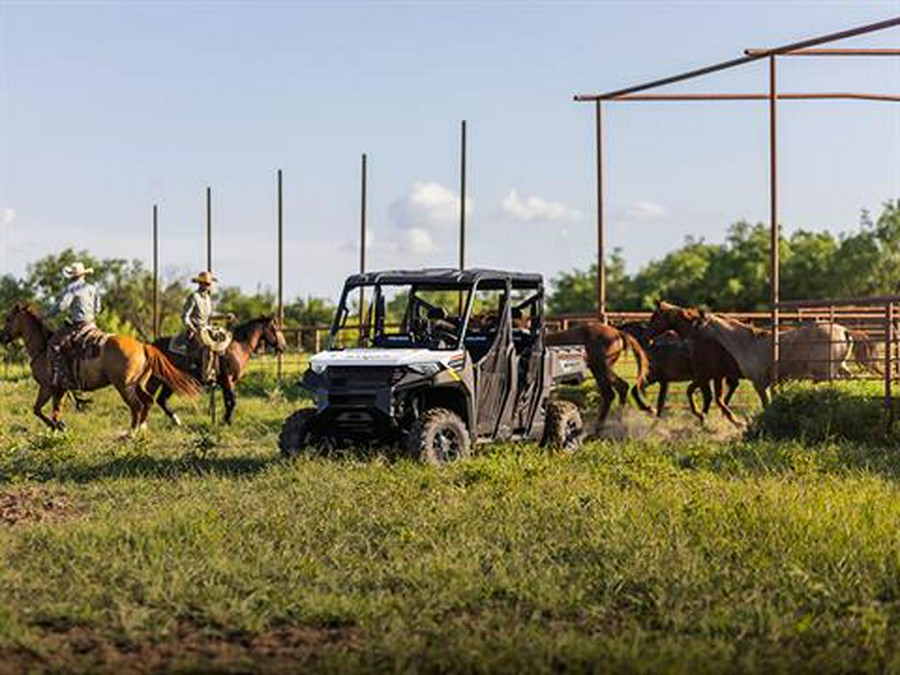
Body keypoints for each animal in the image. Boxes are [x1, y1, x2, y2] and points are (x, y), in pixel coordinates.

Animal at [0, 304, 200, 434]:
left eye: (8, 319)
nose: (2, 337)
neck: (42, 347)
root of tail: (144, 346)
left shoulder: (47, 387)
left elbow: (37, 409)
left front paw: (57, 426)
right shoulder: (60, 389)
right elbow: (55, 412)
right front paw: (58, 427)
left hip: (124, 386)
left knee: (137, 405)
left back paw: (131, 433)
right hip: (139, 384)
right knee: (148, 402)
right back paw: (141, 429)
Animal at [149, 316, 286, 422]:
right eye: (275, 329)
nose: (284, 346)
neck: (239, 347)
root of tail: (153, 345)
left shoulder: (228, 382)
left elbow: (228, 402)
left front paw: (226, 420)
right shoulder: (227, 380)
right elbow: (232, 401)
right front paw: (225, 420)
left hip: (168, 381)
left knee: (160, 400)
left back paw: (175, 420)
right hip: (162, 379)